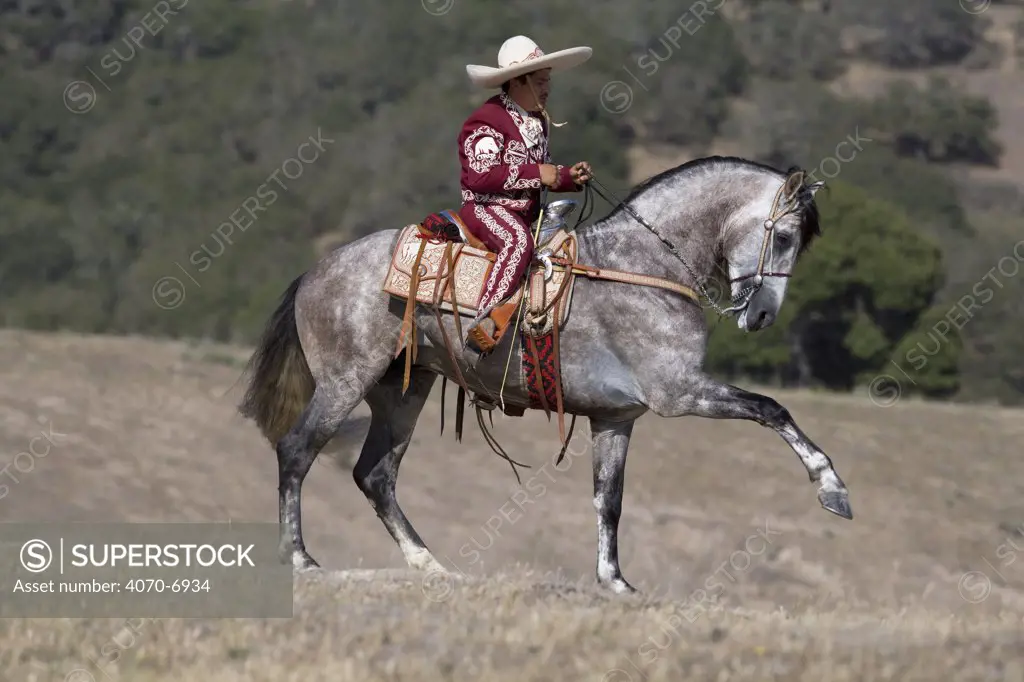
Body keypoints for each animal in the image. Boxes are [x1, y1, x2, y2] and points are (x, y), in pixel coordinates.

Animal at [237, 156, 847, 593]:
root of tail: (316, 271)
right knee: (298, 450)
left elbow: (609, 499)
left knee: (375, 475)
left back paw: (429, 565)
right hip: (346, 381)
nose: (761, 315)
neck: (642, 269)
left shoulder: (616, 417)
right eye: (784, 237)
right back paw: (301, 558)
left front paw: (615, 582)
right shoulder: (680, 393)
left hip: (403, 390)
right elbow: (772, 408)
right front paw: (832, 488)